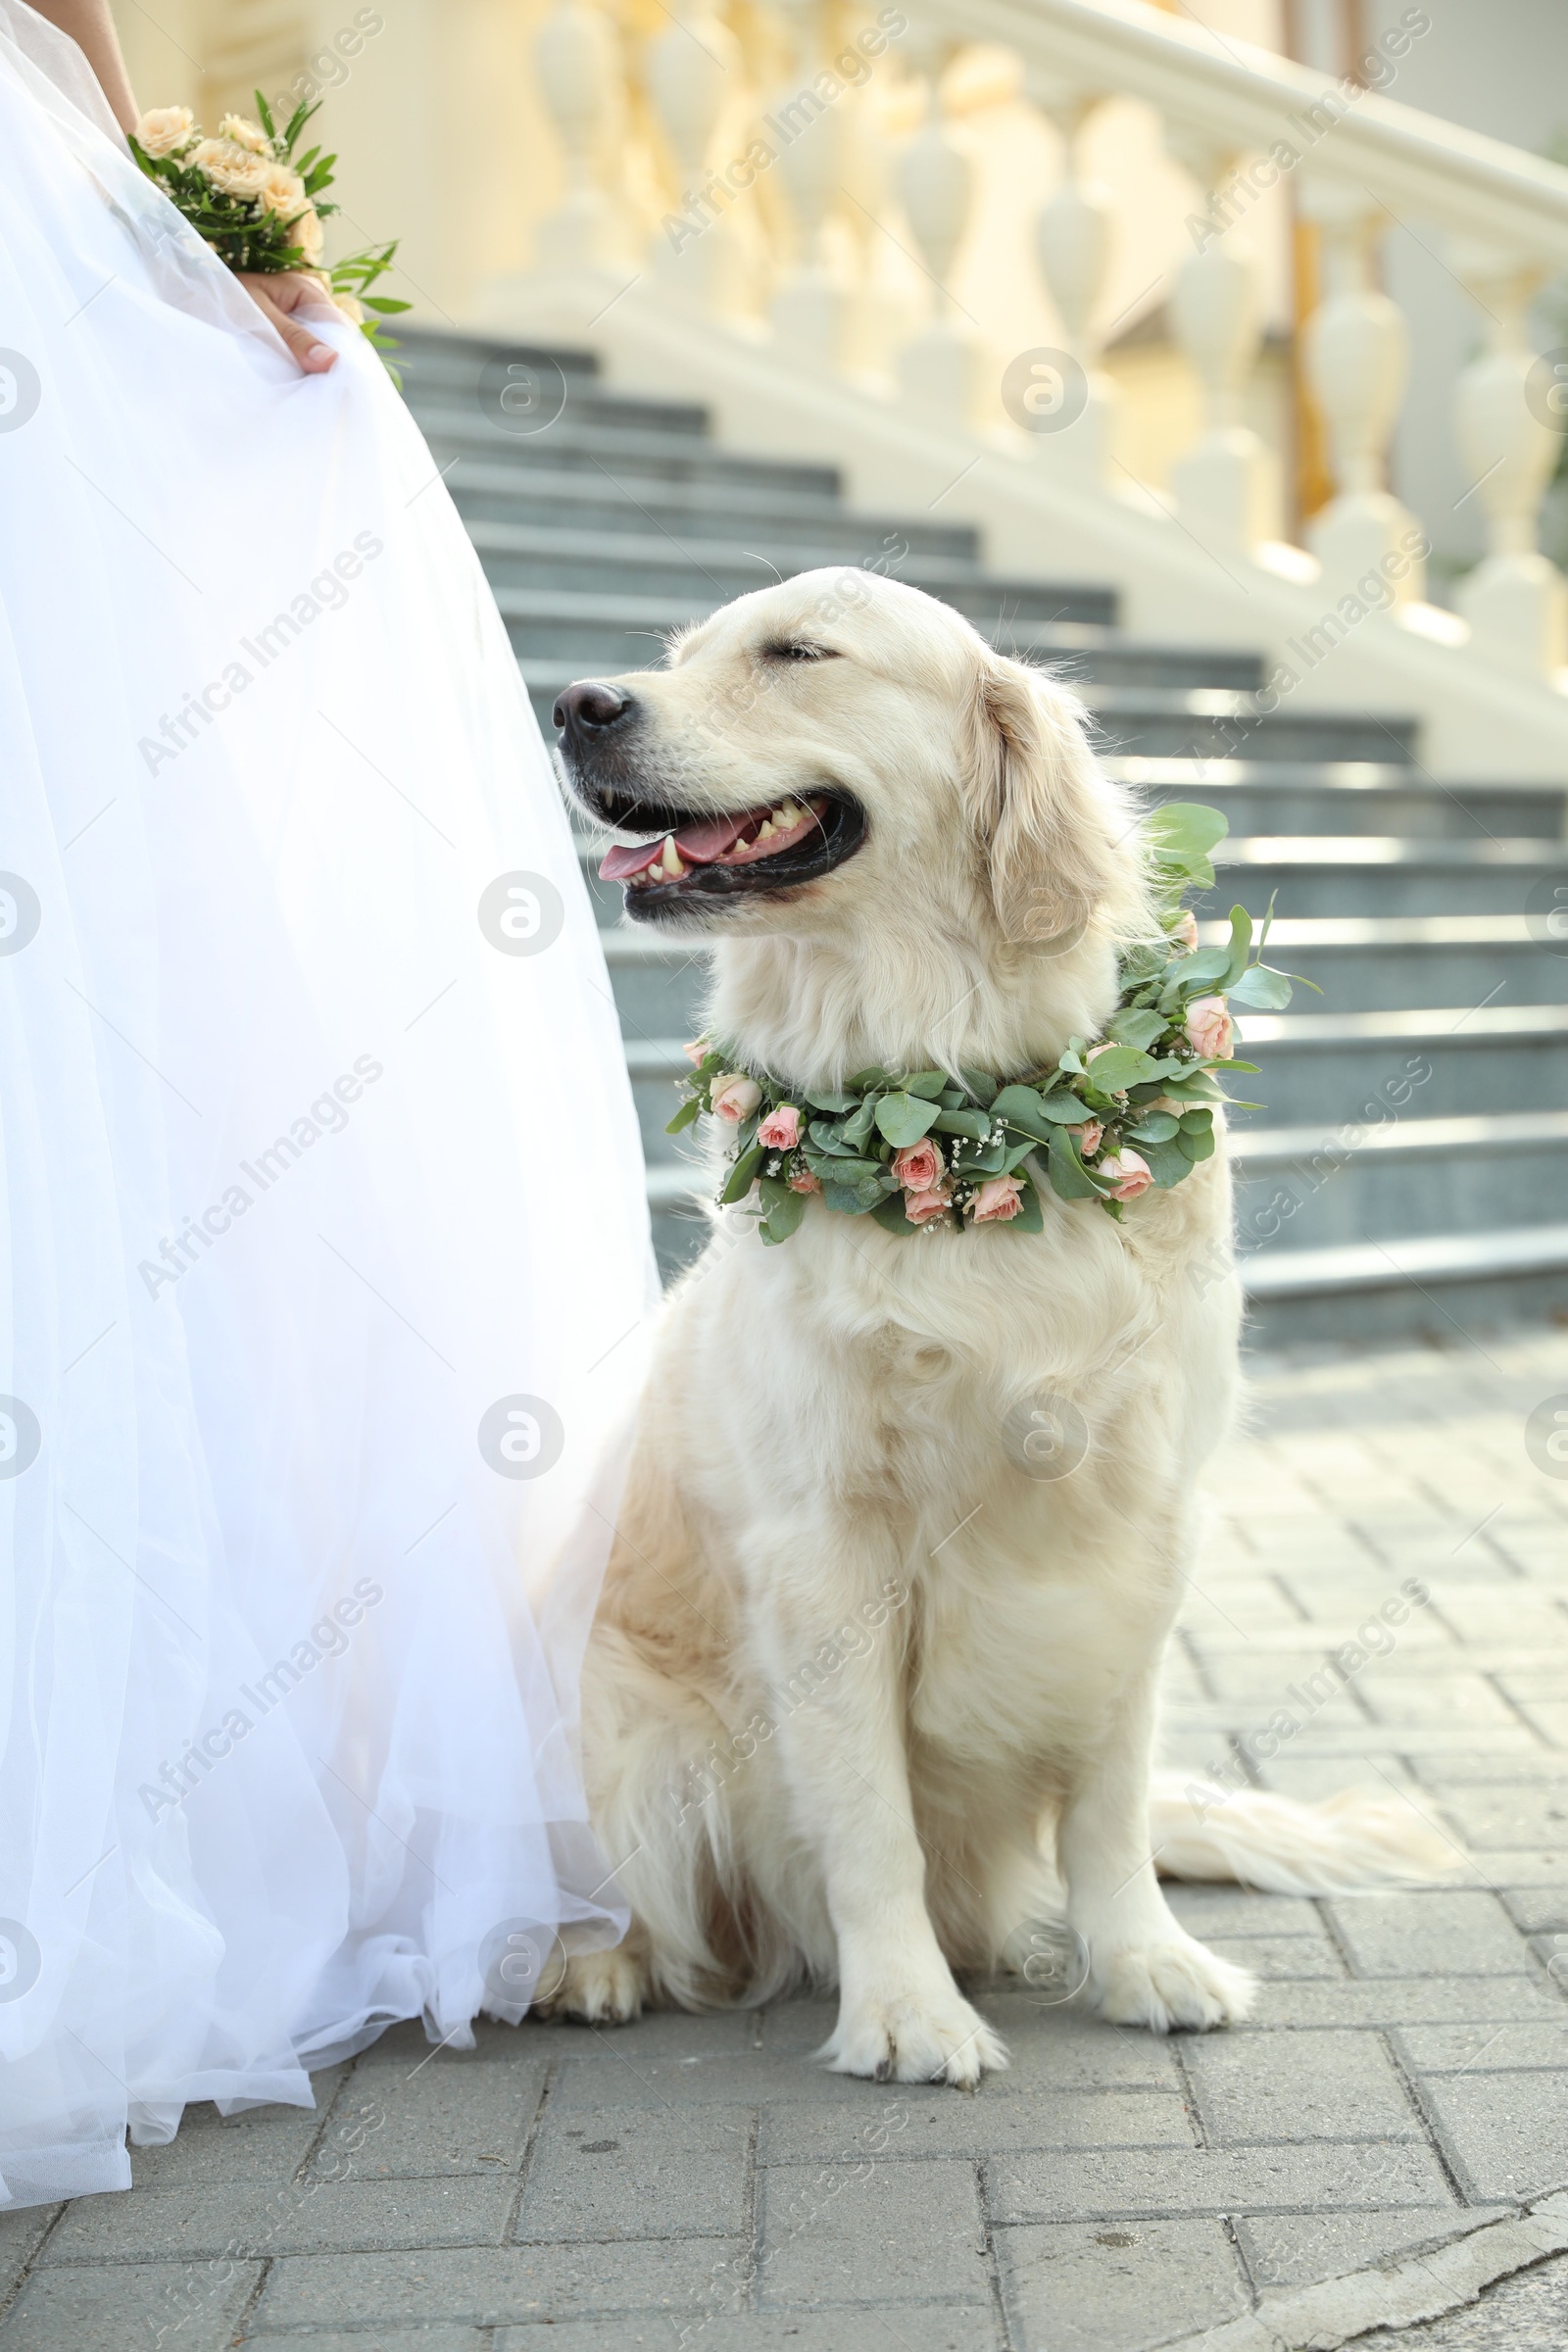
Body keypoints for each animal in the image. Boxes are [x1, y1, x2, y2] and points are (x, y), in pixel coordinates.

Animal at [550, 573, 1447, 2097]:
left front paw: (1142, 1962)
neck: (966, 1127)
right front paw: (907, 2012)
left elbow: (1111, 1798)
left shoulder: (1144, 1520)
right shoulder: (821, 1542)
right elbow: (869, 1819)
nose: (573, 704)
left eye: (796, 653)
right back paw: (584, 1963)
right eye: (680, 656)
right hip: (622, 1718)